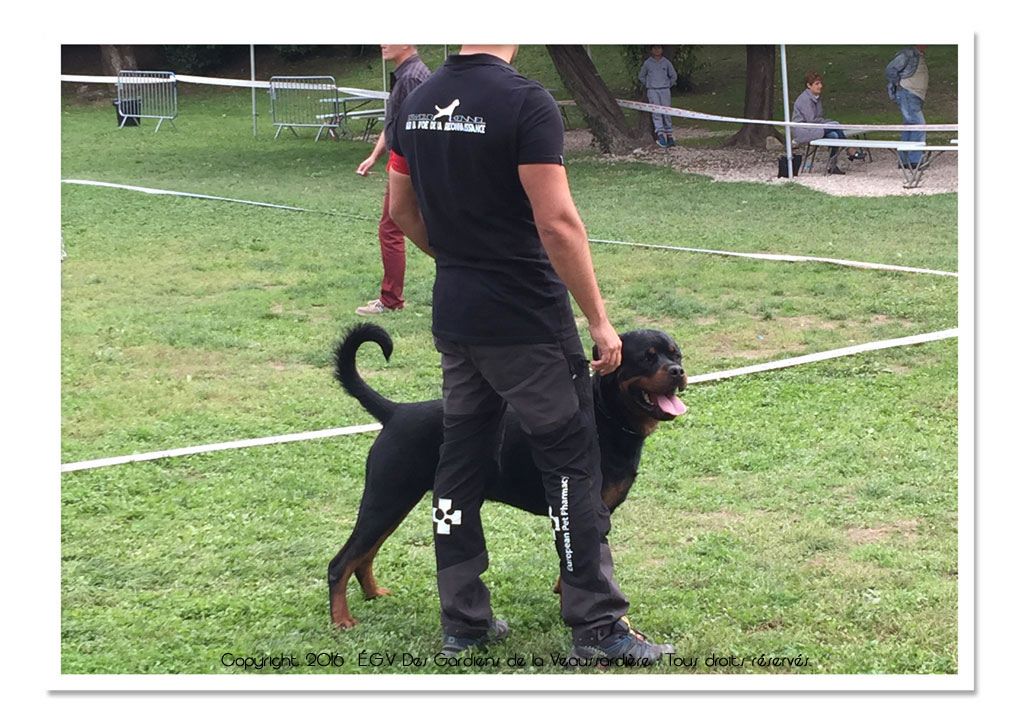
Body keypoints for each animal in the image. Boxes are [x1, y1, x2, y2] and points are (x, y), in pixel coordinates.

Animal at [323, 323, 684, 626]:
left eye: (676, 354)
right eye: (647, 357)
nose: (679, 371)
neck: (607, 418)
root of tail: (397, 412)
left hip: (395, 501)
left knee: (364, 556)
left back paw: (373, 594)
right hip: (387, 497)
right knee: (341, 562)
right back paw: (342, 620)